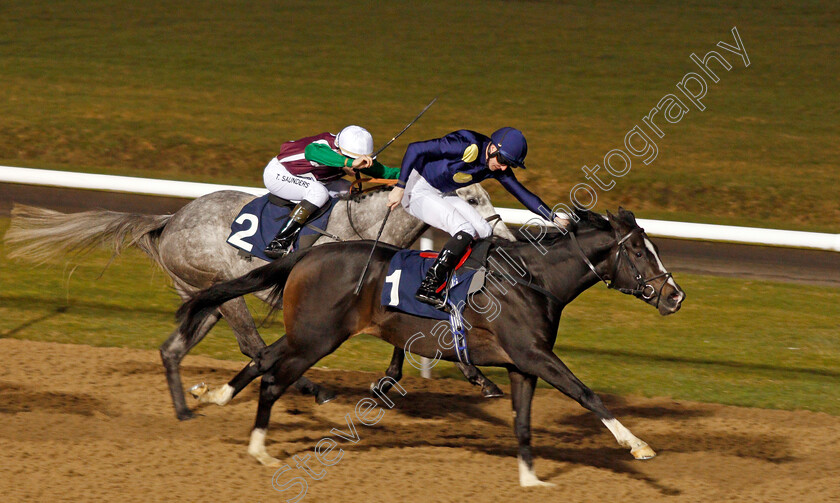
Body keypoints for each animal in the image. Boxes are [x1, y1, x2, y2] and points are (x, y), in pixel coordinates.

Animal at [177, 208, 684, 484]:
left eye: (653, 249)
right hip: (316, 339)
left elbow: (523, 422)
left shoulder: (522, 364)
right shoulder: (535, 355)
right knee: (273, 380)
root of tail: (308, 252)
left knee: (264, 357)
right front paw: (638, 445)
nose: (675, 296)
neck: (532, 279)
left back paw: (215, 395)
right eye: (637, 252)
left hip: (307, 332)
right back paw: (259, 448)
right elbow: (585, 392)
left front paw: (530, 479)